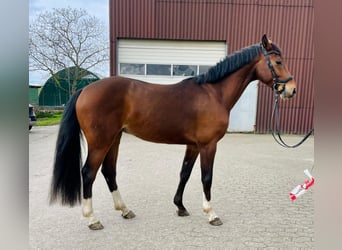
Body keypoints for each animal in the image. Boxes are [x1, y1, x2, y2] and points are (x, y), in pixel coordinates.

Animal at [48, 34, 296, 229]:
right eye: (278, 61)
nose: (291, 90)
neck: (214, 93)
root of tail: (84, 90)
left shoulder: (193, 145)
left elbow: (184, 173)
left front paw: (180, 207)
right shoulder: (208, 145)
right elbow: (206, 177)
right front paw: (211, 214)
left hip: (114, 139)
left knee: (109, 172)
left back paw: (125, 210)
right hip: (100, 142)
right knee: (88, 173)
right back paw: (92, 219)